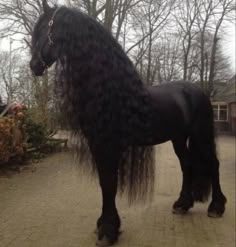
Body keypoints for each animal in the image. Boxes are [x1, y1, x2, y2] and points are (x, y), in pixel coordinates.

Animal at [30, 1, 227, 245]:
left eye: (45, 30)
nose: (33, 66)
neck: (111, 91)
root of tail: (197, 90)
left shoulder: (110, 145)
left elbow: (109, 183)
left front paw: (108, 229)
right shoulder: (97, 144)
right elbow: (105, 183)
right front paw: (105, 225)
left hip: (201, 134)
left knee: (213, 164)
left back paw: (216, 207)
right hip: (179, 138)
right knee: (187, 164)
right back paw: (182, 204)